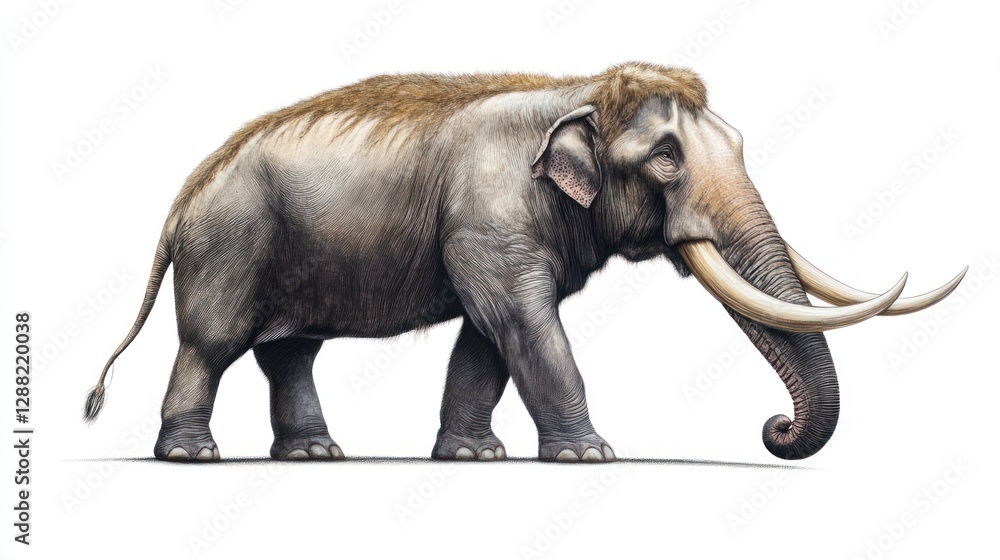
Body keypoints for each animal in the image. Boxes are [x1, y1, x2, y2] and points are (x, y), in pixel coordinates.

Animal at [83, 62, 965, 462]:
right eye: (667, 158)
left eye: (742, 146)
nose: (775, 429)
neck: (578, 90)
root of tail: (186, 192)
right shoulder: (489, 217)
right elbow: (520, 321)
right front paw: (592, 456)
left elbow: (488, 337)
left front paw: (474, 457)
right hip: (231, 244)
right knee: (212, 344)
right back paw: (193, 457)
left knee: (290, 351)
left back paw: (314, 456)